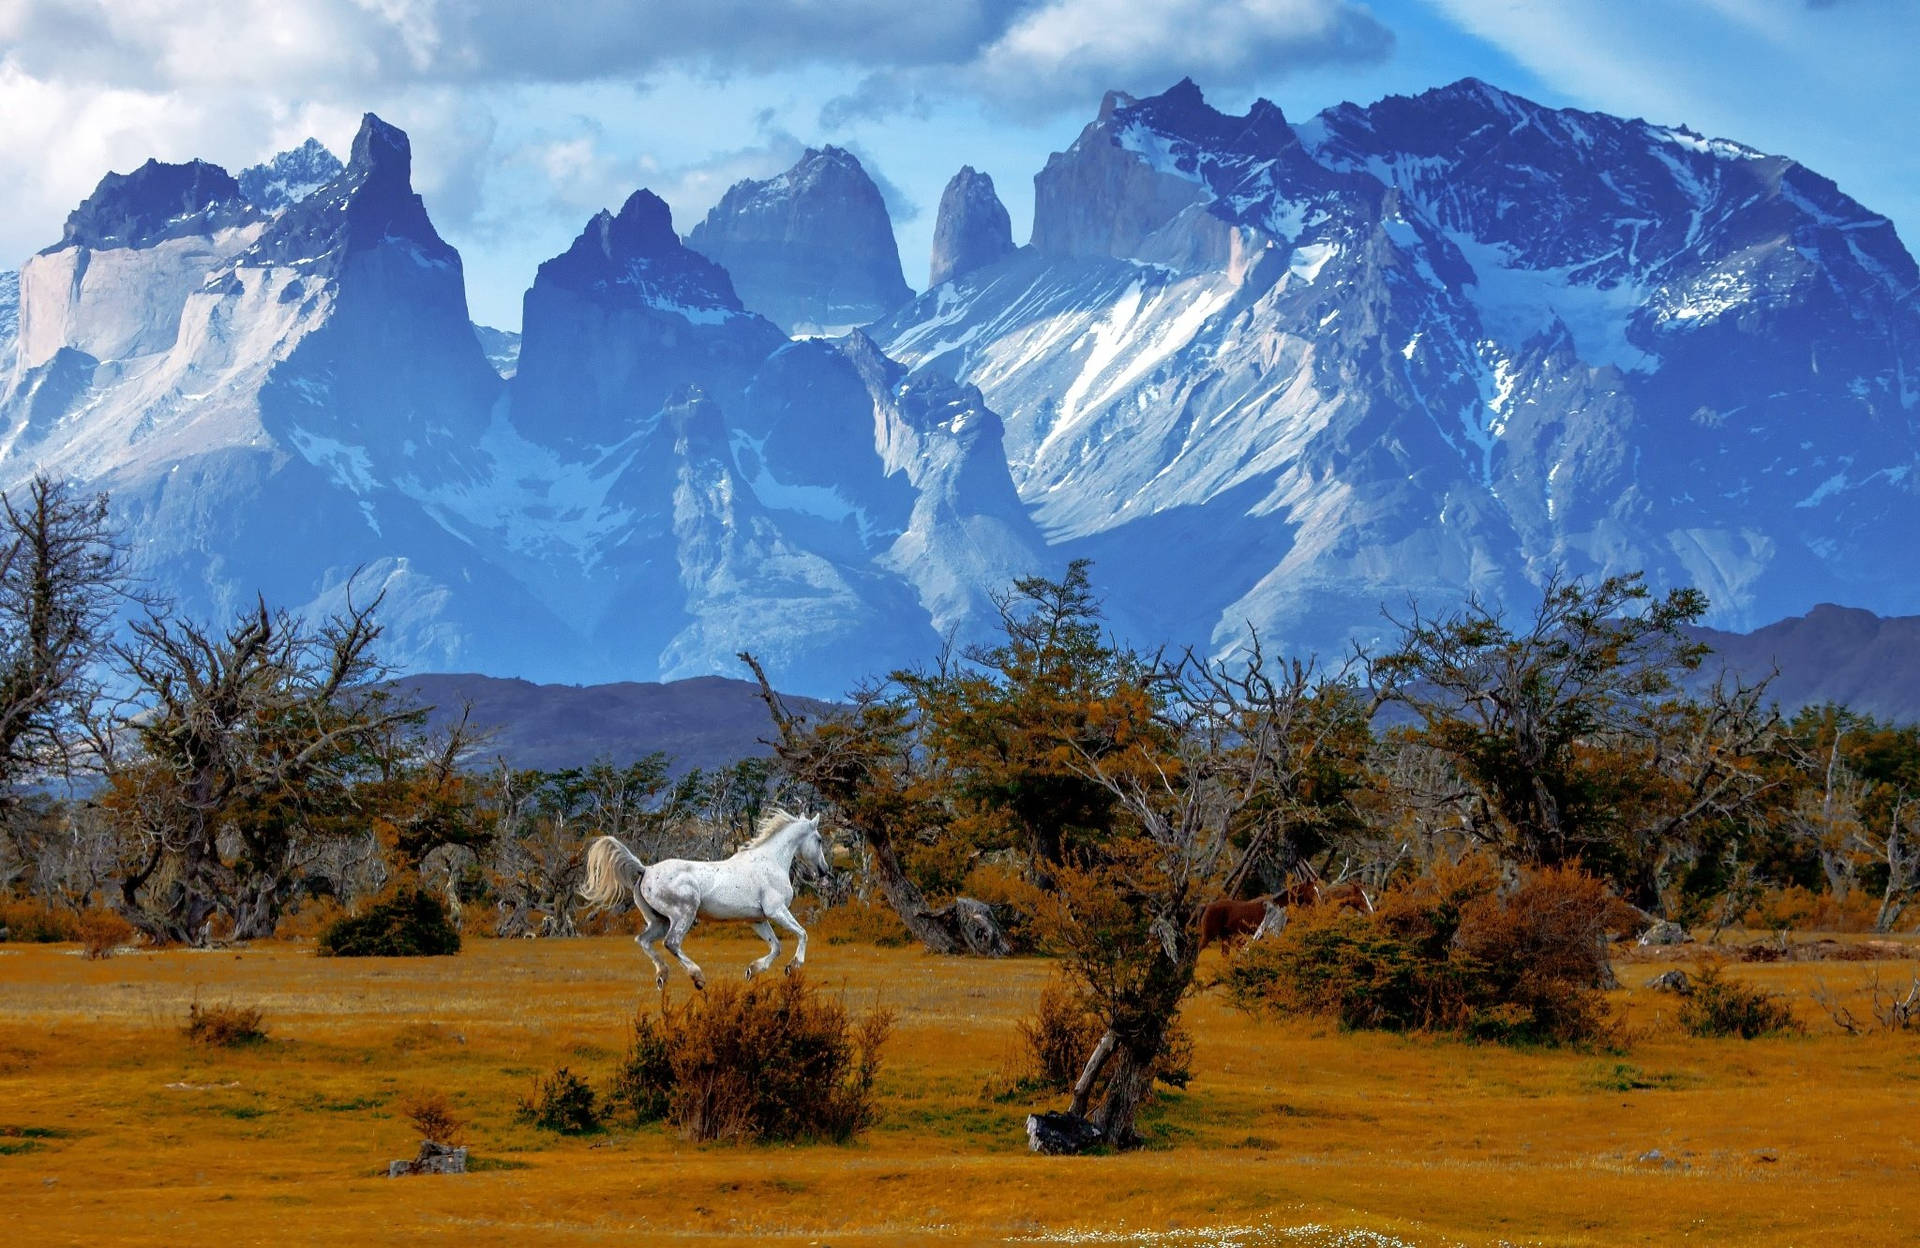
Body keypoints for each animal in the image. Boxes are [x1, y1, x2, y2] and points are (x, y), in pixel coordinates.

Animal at [576, 806, 833, 990]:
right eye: (819, 839)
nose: (824, 870)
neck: (771, 861)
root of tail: (645, 869)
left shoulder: (757, 919)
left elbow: (776, 946)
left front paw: (752, 970)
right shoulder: (776, 911)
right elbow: (802, 934)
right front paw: (793, 966)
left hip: (660, 920)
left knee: (644, 941)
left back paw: (662, 976)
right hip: (683, 914)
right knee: (671, 943)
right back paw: (697, 977)